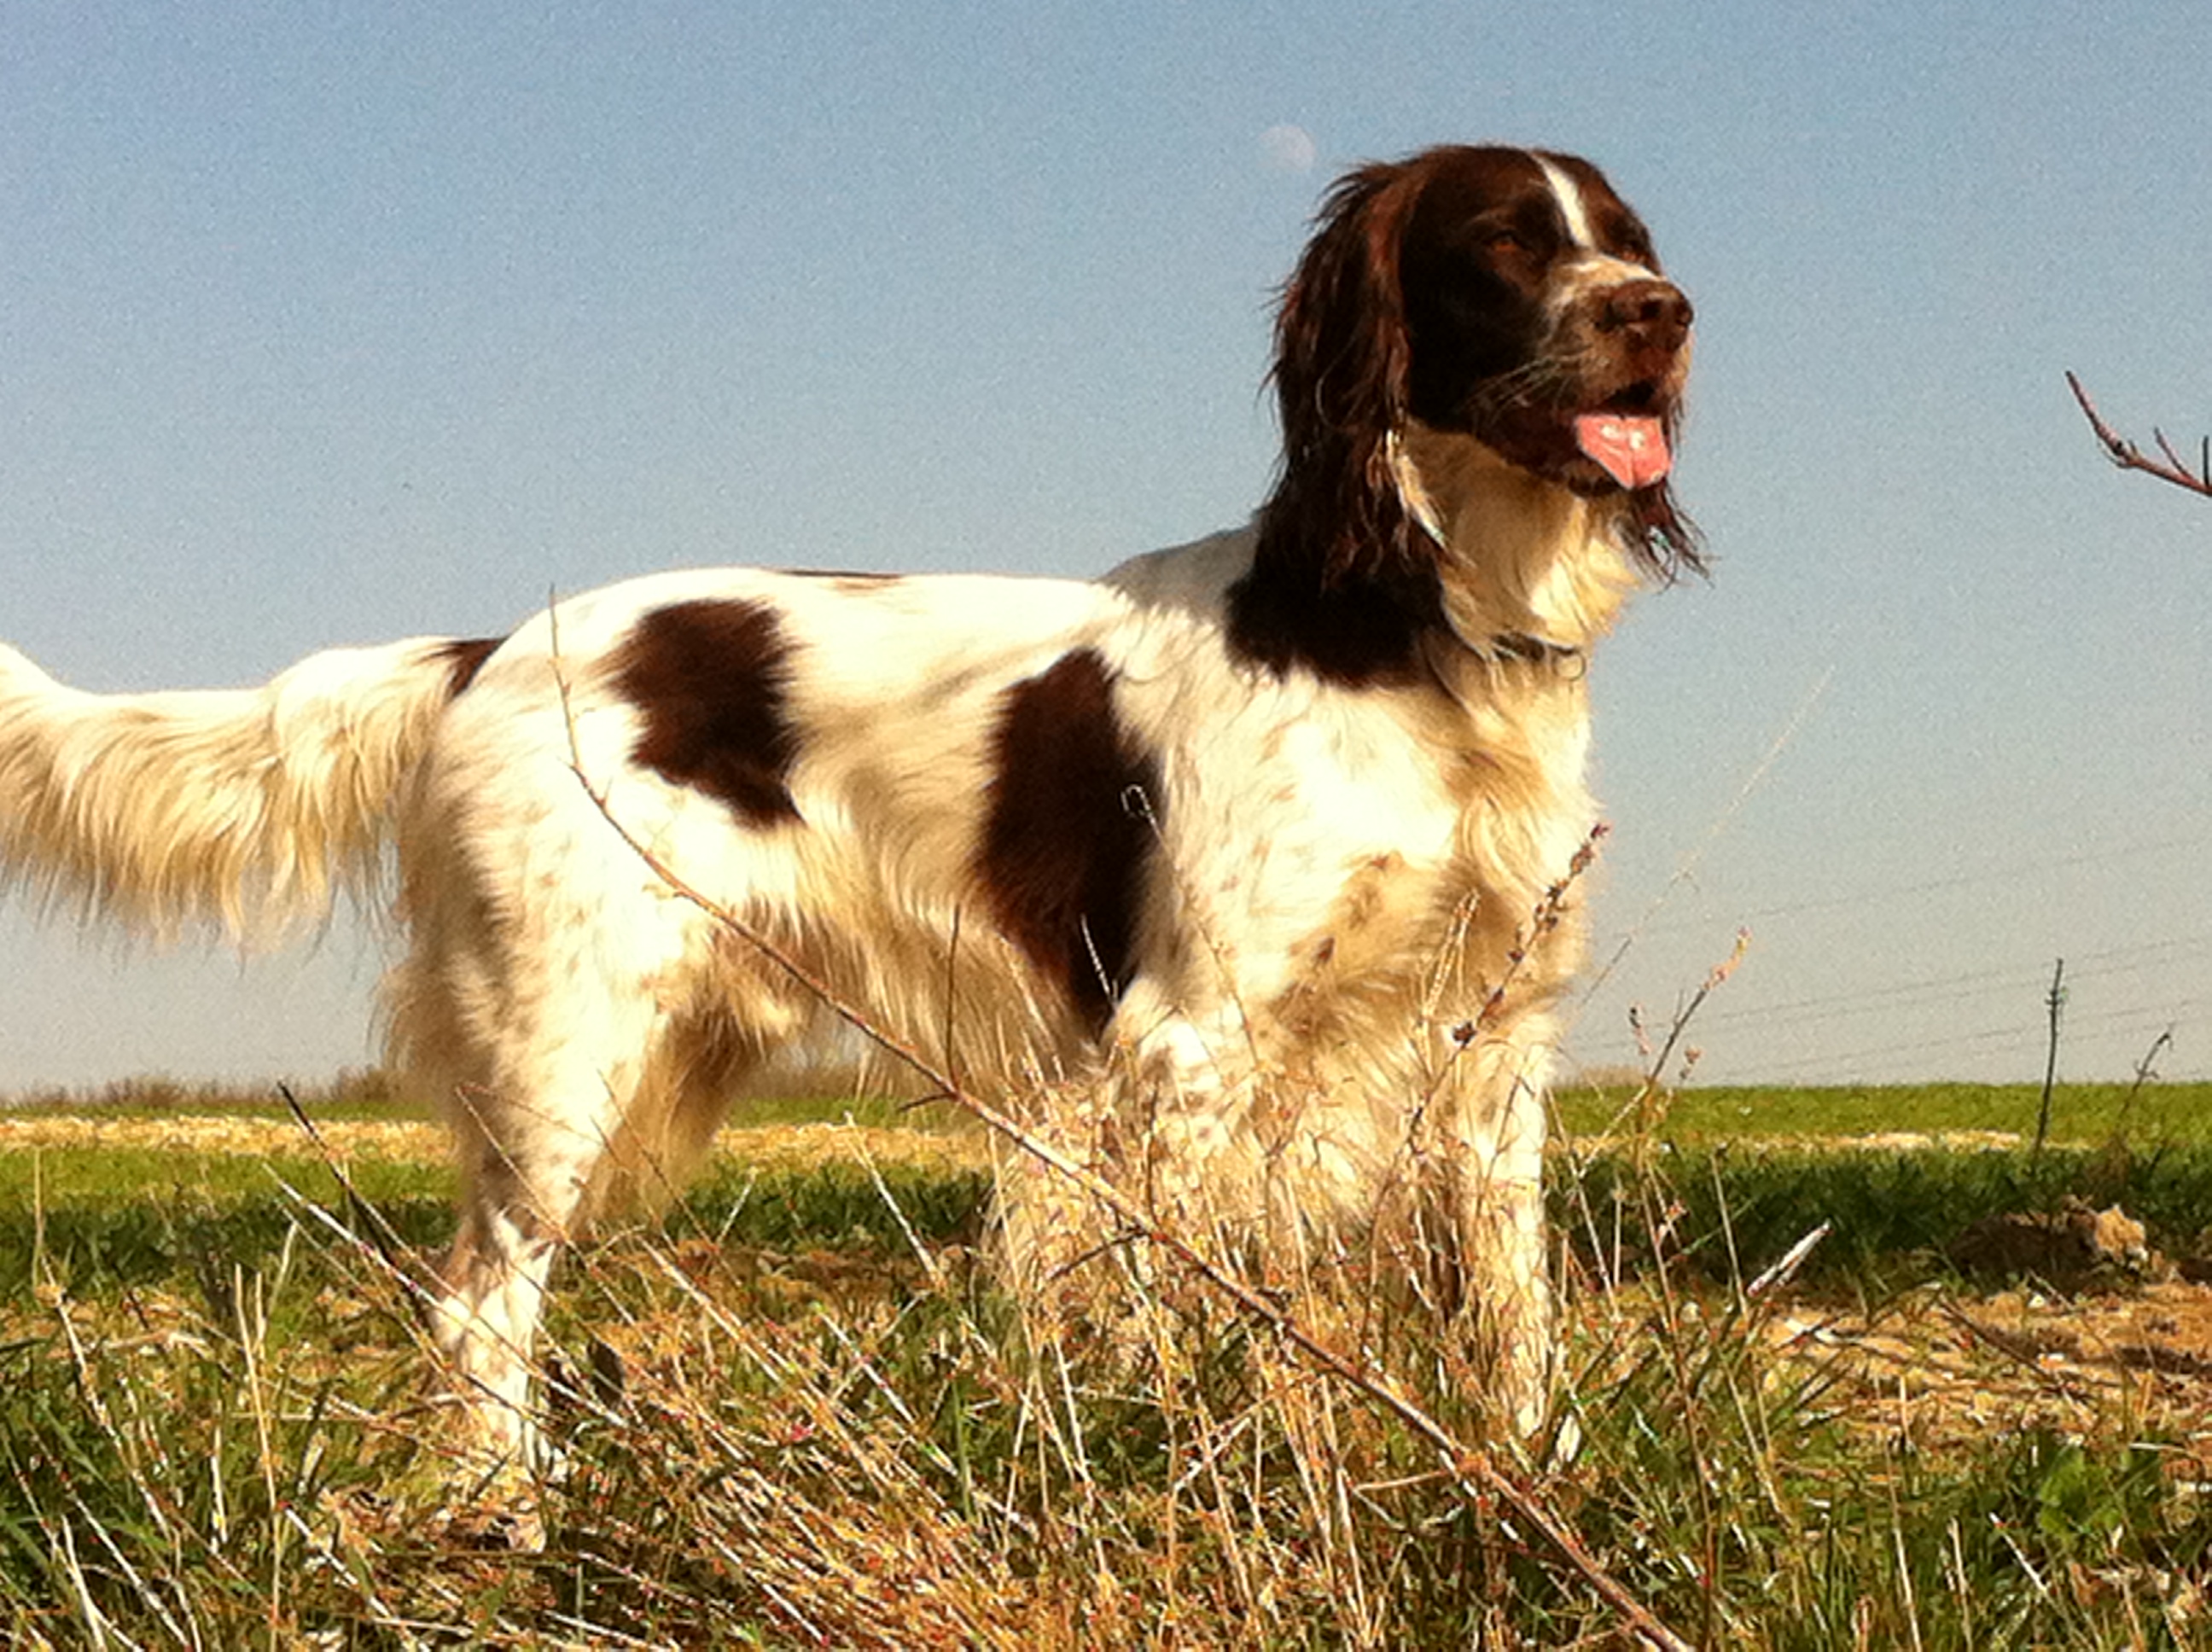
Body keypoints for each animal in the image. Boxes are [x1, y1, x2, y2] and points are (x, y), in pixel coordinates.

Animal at [0, 143, 1690, 1459]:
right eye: (1502, 243)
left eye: (1626, 237)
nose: (1660, 316)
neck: (1410, 627)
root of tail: (490, 648)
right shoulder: (1193, 1043)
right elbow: (1205, 1312)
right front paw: (1219, 1466)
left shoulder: (1490, 1046)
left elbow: (1515, 1318)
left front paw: (1527, 1481)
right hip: (559, 1051)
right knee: (480, 1303)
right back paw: (504, 1520)